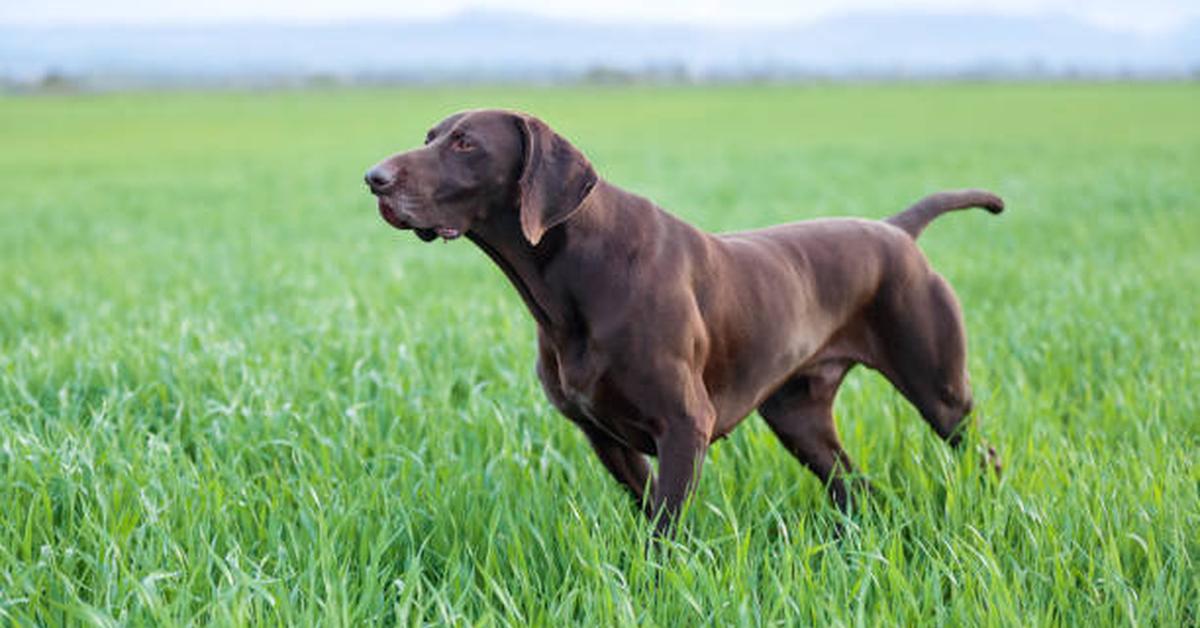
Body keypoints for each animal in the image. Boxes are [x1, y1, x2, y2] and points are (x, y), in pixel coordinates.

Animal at [364, 110, 1003, 533]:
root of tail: (897, 231)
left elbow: (664, 534)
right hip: (800, 420)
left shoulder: (682, 426)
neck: (574, 274)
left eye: (465, 143)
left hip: (942, 394)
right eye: (429, 138)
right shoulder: (606, 438)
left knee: (981, 453)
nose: (374, 178)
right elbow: (651, 517)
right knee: (857, 488)